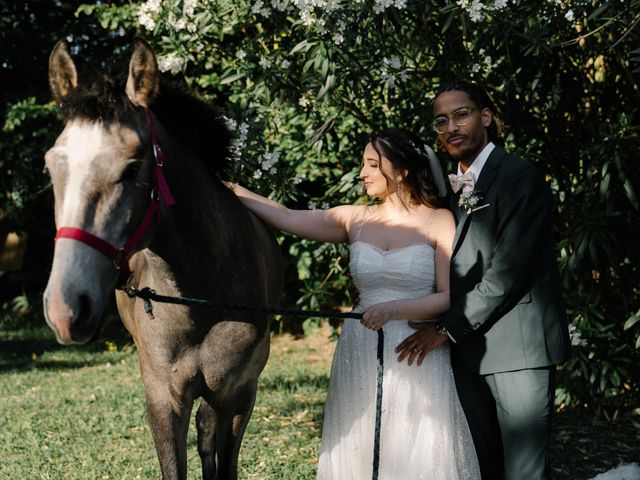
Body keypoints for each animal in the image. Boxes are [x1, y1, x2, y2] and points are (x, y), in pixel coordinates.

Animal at [43, 38, 284, 480]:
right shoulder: (163, 398)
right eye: (52, 168)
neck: (202, 298)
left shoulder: (238, 396)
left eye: (132, 168)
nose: (65, 308)